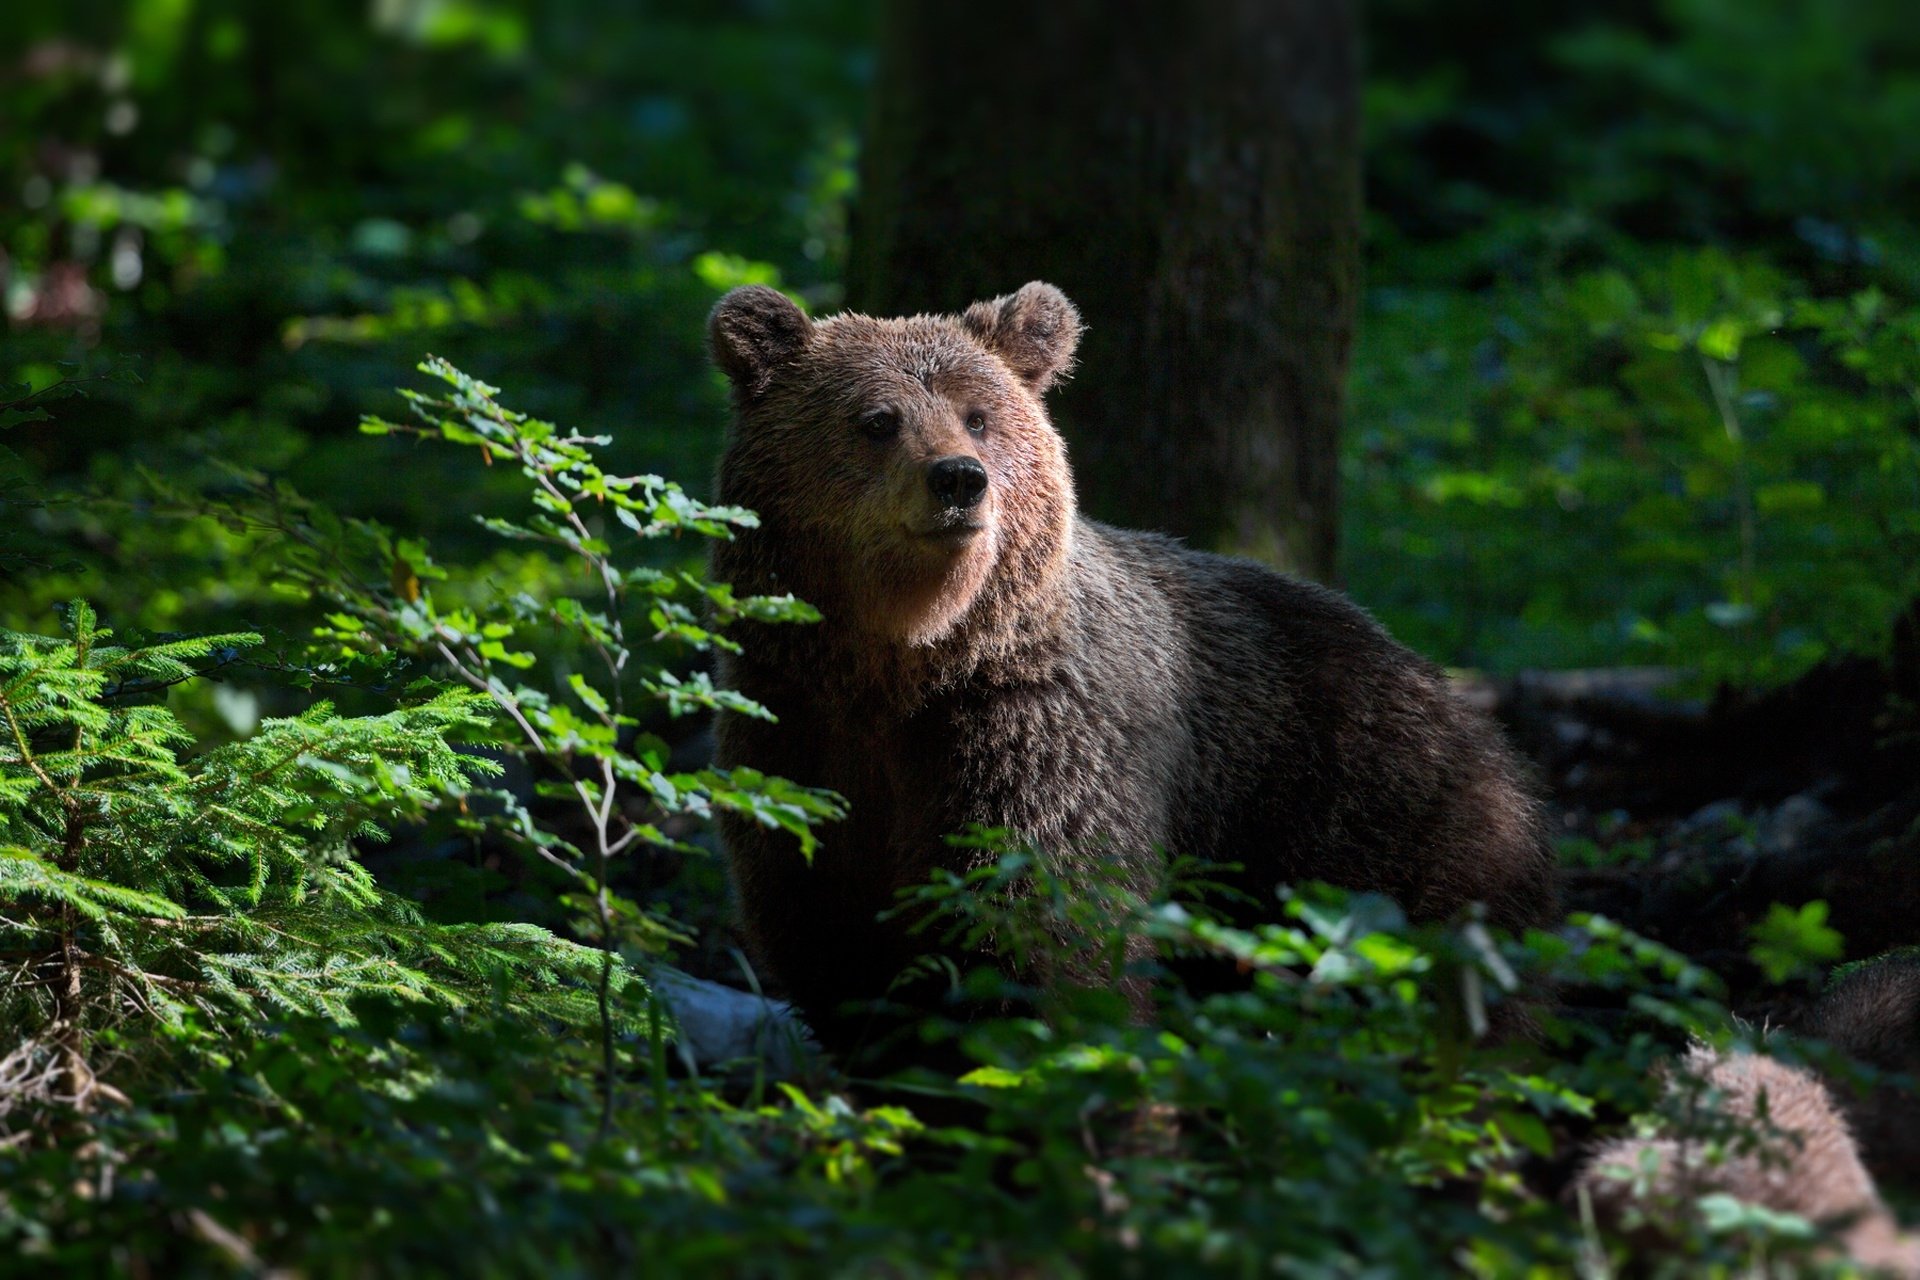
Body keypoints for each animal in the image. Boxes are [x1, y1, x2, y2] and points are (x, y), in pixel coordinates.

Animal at [705, 281, 1558, 1055]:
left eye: (979, 416)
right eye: (878, 419)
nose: (958, 478)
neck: (907, 662)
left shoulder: (1034, 739)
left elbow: (1043, 932)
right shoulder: (795, 737)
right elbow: (833, 945)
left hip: (1368, 817)